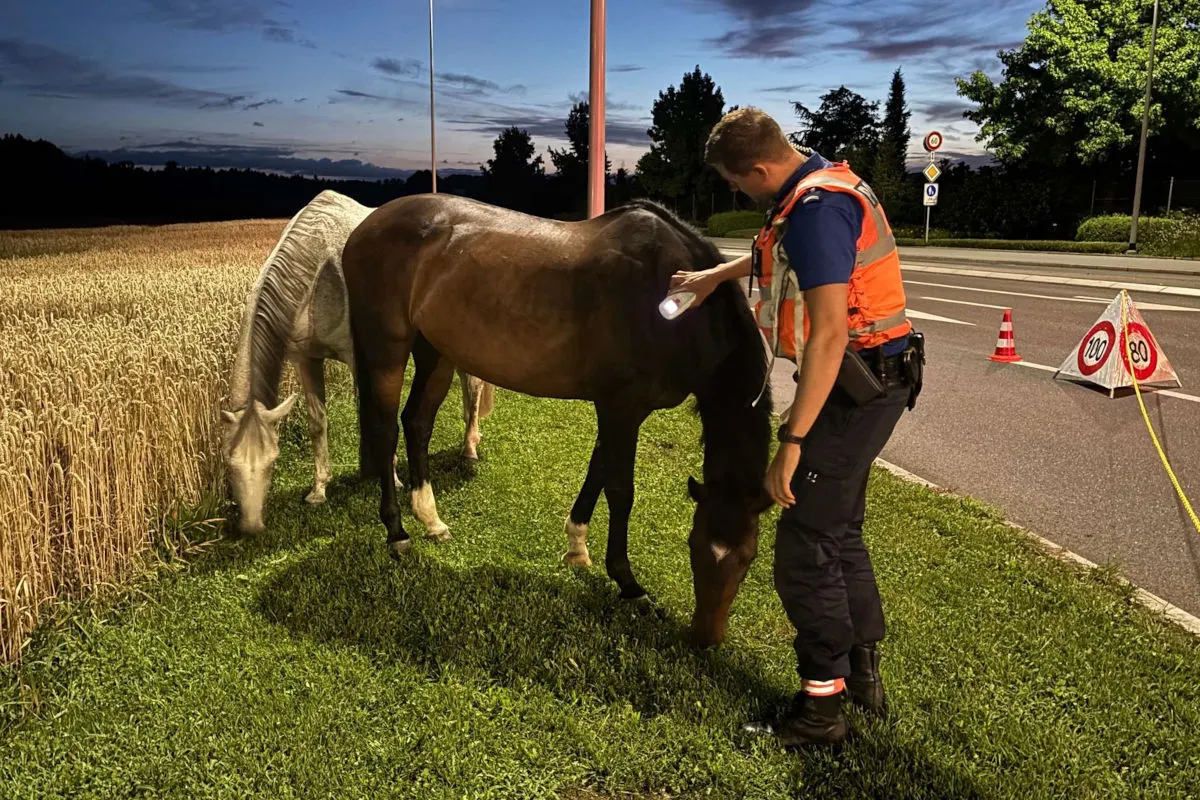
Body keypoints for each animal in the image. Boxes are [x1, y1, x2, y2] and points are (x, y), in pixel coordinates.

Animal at [220, 189, 496, 536]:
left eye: (272, 461)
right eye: (230, 464)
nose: (251, 527)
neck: (316, 278)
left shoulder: (360, 356)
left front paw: (391, 477)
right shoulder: (305, 358)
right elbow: (317, 421)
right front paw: (319, 489)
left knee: (473, 387)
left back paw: (469, 448)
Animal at [339, 192, 774, 648]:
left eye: (748, 558)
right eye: (694, 546)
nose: (706, 638)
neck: (672, 296)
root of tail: (366, 226)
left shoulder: (621, 410)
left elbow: (598, 472)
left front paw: (577, 546)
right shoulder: (621, 407)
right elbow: (620, 490)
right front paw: (629, 584)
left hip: (435, 351)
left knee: (417, 422)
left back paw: (431, 519)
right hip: (388, 348)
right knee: (386, 429)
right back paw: (397, 532)